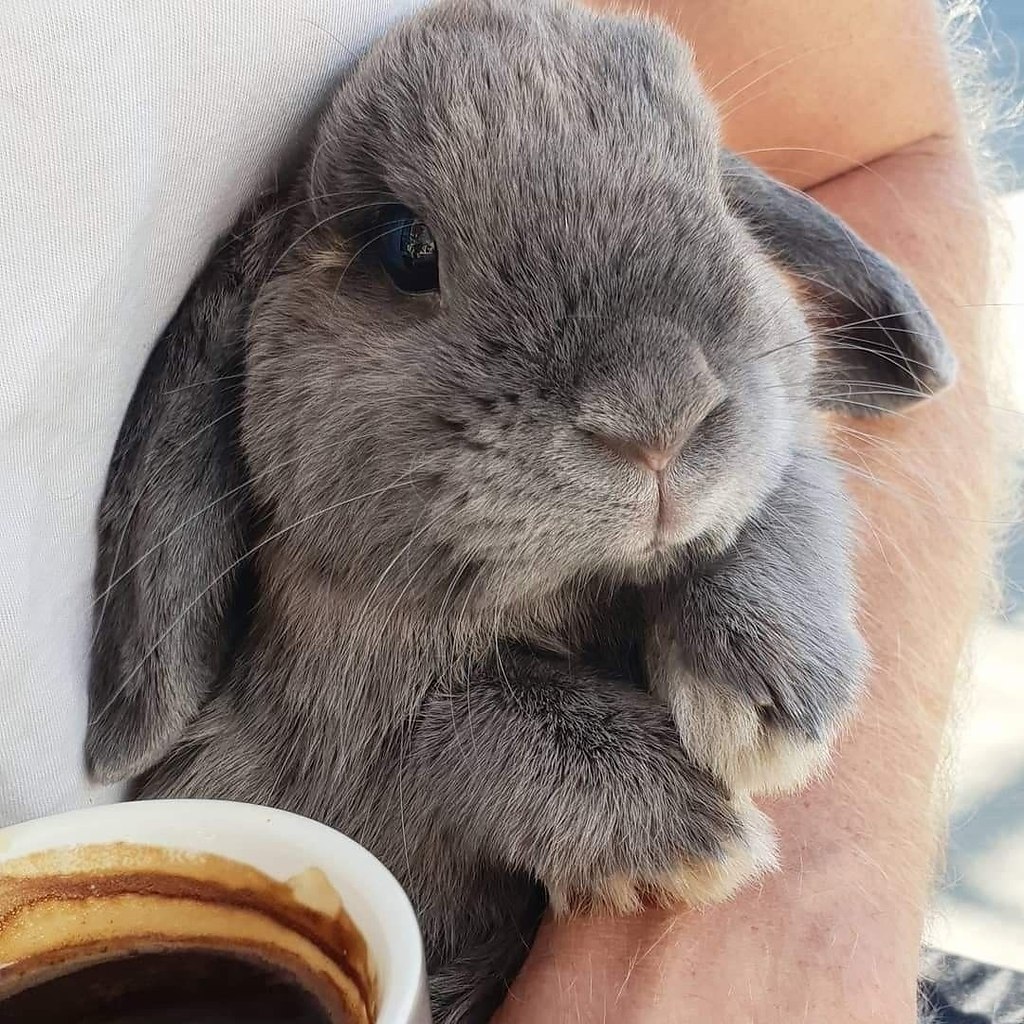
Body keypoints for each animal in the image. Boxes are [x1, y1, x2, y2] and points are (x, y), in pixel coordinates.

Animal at [85, 0, 955, 1020]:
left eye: (715, 191)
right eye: (405, 248)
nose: (659, 415)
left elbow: (785, 501)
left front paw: (769, 702)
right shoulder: (313, 762)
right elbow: (456, 729)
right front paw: (696, 827)